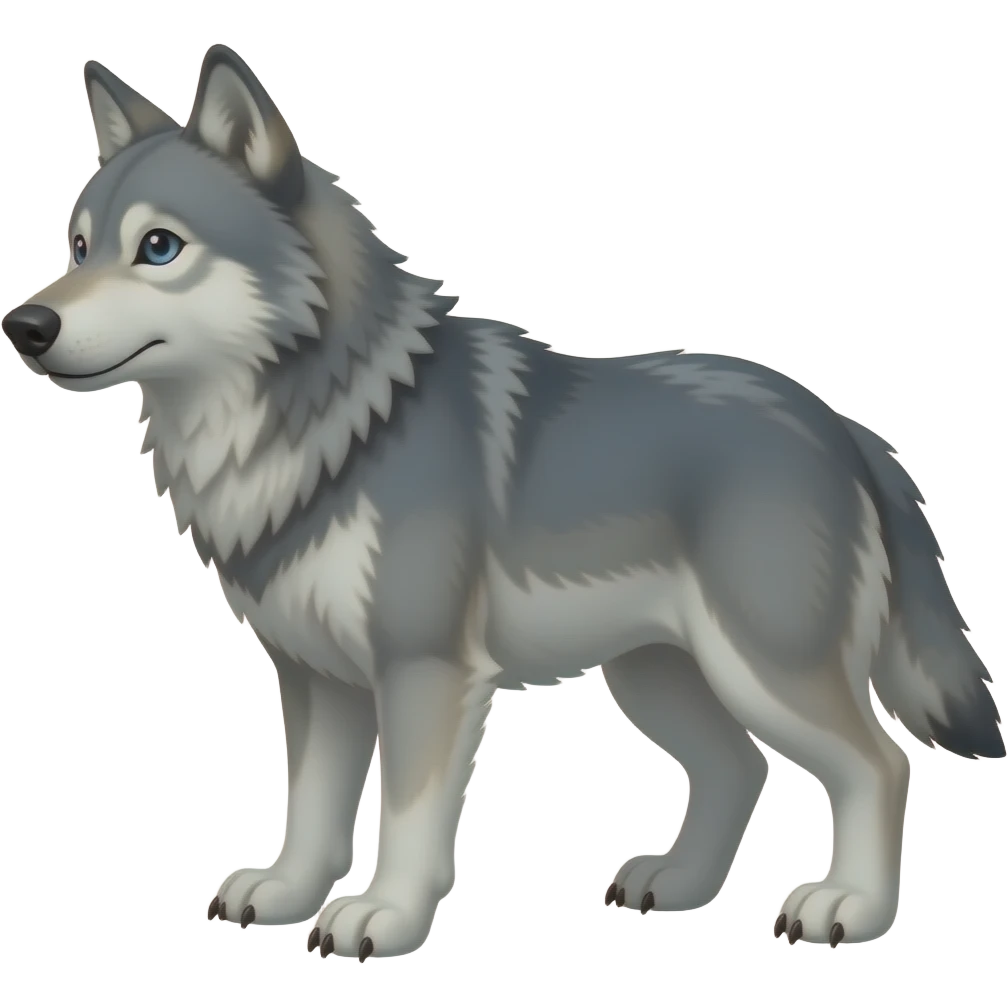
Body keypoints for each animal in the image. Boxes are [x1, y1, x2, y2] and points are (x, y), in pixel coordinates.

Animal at [2, 44, 1003, 960]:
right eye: (79, 248)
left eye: (158, 248)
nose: (25, 324)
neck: (330, 425)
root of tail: (841, 425)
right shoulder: (318, 678)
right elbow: (312, 811)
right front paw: (286, 893)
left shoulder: (424, 672)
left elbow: (408, 817)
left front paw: (383, 916)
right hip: (657, 676)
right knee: (739, 767)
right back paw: (679, 883)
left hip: (762, 667)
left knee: (879, 765)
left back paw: (849, 907)